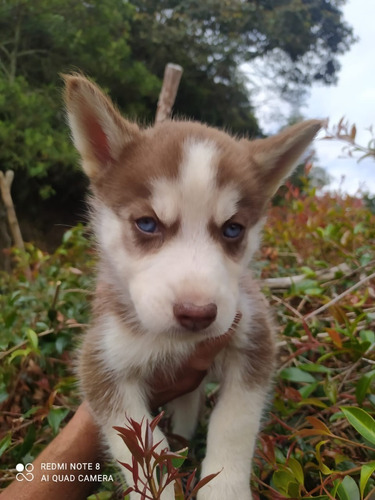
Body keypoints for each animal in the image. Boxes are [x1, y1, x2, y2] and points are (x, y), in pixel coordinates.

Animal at [64, 74, 324, 500]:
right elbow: (139, 449)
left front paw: (225, 489)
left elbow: (234, 423)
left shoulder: (253, 337)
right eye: (147, 224)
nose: (197, 314)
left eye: (233, 229)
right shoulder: (102, 362)